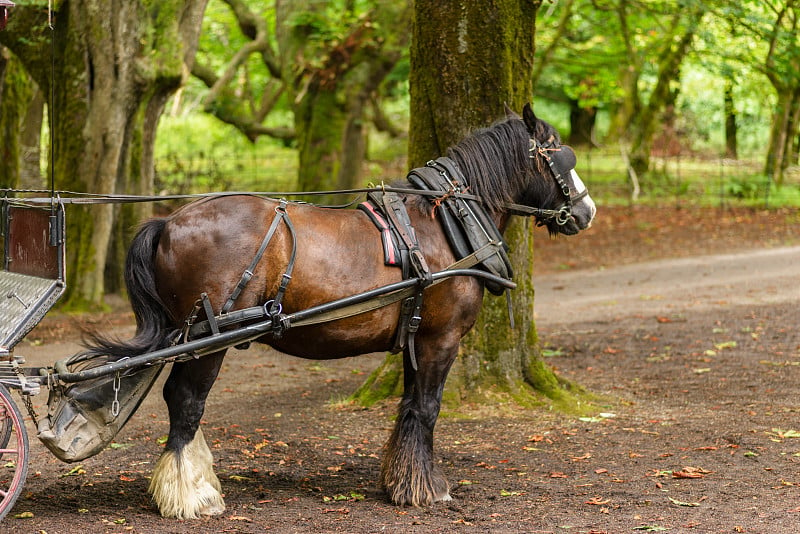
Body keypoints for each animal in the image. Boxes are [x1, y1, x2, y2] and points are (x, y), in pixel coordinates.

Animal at [87, 104, 592, 520]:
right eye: (560, 155)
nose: (587, 211)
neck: (447, 223)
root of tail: (169, 222)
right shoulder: (440, 339)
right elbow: (428, 408)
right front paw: (430, 490)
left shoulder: (415, 336)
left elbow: (408, 406)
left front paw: (400, 484)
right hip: (207, 339)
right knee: (186, 402)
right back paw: (192, 496)